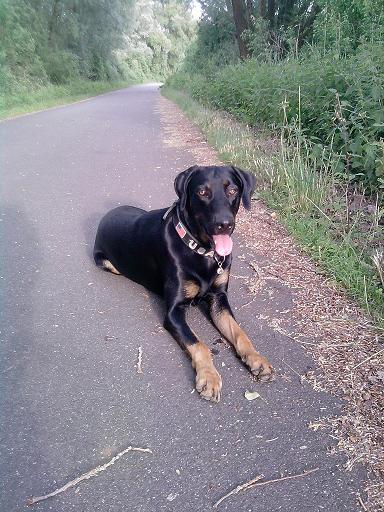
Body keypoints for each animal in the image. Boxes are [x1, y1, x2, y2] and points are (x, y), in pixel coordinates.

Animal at [93, 166, 272, 402]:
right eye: (202, 192)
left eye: (233, 190)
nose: (225, 224)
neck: (203, 251)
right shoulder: (174, 311)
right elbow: (199, 344)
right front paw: (209, 377)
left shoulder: (219, 299)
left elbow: (239, 332)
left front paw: (257, 358)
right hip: (106, 262)